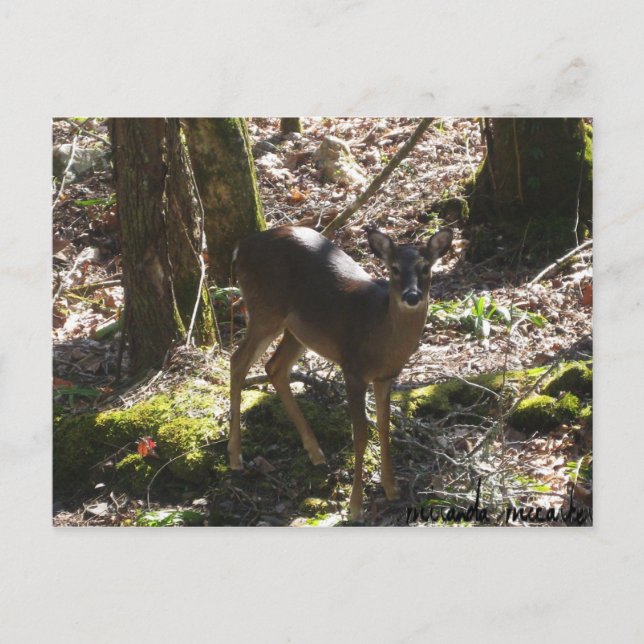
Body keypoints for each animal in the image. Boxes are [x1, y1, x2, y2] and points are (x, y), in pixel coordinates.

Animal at [229, 224, 453, 520]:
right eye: (393, 268)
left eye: (425, 267)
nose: (412, 296)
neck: (381, 336)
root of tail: (241, 247)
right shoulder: (353, 370)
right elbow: (360, 434)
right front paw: (356, 506)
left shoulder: (386, 377)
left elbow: (384, 426)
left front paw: (391, 489)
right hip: (264, 310)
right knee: (238, 361)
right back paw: (235, 456)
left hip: (297, 330)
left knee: (274, 367)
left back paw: (315, 452)